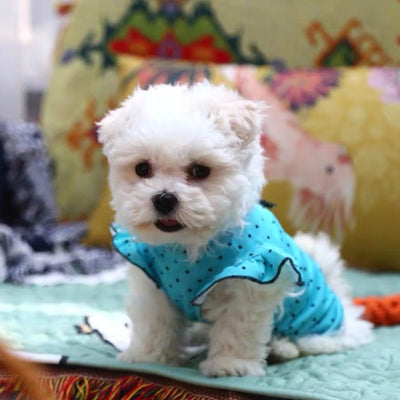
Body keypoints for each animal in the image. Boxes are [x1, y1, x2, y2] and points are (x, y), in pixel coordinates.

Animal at [98, 82, 374, 378]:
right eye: (142, 168)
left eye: (200, 170)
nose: (164, 198)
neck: (188, 244)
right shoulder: (154, 283)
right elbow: (156, 322)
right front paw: (149, 357)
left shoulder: (251, 282)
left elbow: (237, 326)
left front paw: (230, 365)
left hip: (319, 325)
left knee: (311, 342)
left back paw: (283, 348)